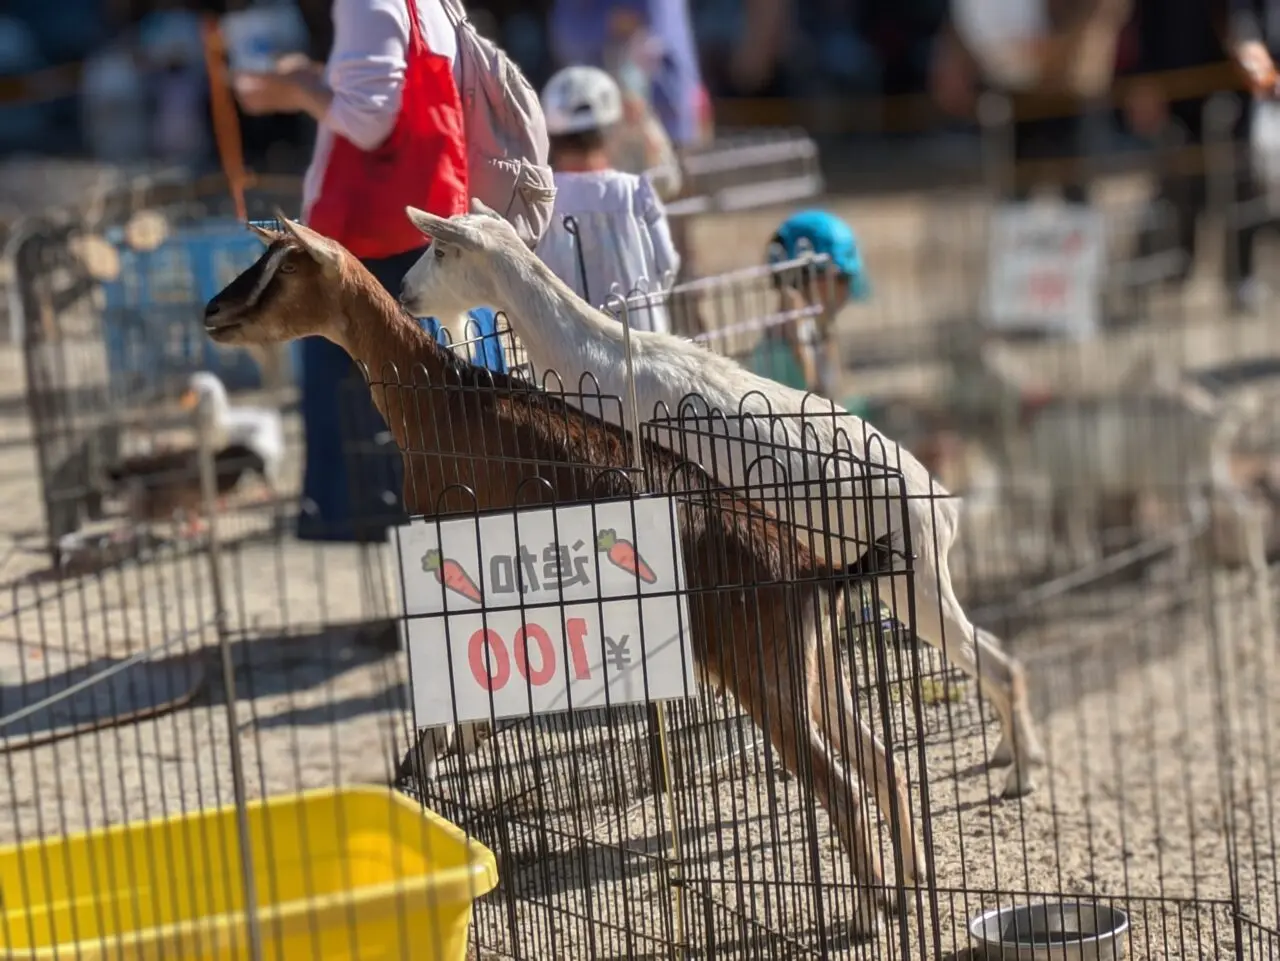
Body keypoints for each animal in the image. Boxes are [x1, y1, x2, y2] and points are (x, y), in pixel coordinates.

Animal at [204, 216, 931, 931]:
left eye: (284, 267)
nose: (213, 312)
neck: (446, 397)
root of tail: (814, 570)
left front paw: (442, 743)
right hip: (811, 668)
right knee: (884, 762)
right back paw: (911, 882)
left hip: (764, 673)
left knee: (842, 787)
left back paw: (872, 914)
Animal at [401, 200, 1049, 798]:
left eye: (440, 249)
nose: (405, 292)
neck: (601, 360)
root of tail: (938, 501)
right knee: (992, 652)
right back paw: (1008, 754)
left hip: (912, 578)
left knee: (997, 661)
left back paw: (1019, 776)